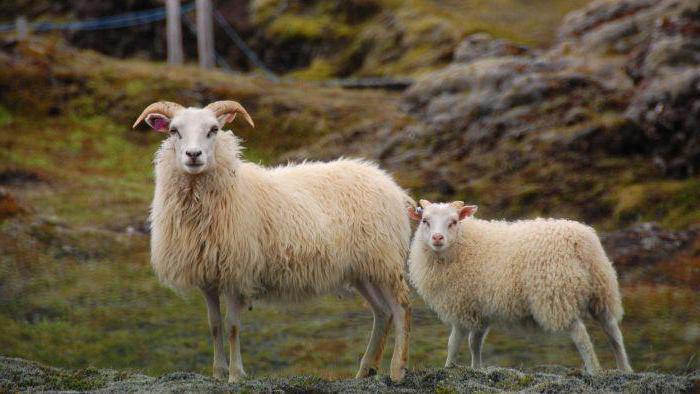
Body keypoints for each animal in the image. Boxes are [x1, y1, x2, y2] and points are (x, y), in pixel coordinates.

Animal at [134, 101, 412, 382]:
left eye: (214, 129)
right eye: (173, 131)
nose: (193, 154)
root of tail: (391, 184)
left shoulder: (236, 273)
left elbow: (232, 326)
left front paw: (236, 374)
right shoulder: (208, 276)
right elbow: (214, 325)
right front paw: (218, 373)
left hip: (384, 260)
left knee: (401, 309)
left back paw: (397, 369)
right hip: (362, 269)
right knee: (382, 312)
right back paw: (366, 369)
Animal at [408, 200, 632, 372]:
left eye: (453, 222)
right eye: (425, 221)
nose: (437, 238)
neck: (464, 245)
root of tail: (580, 242)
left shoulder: (460, 305)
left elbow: (454, 343)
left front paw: (448, 368)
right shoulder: (480, 308)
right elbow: (475, 343)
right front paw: (477, 369)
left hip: (556, 295)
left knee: (582, 337)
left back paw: (594, 371)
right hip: (602, 291)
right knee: (613, 332)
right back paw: (624, 370)